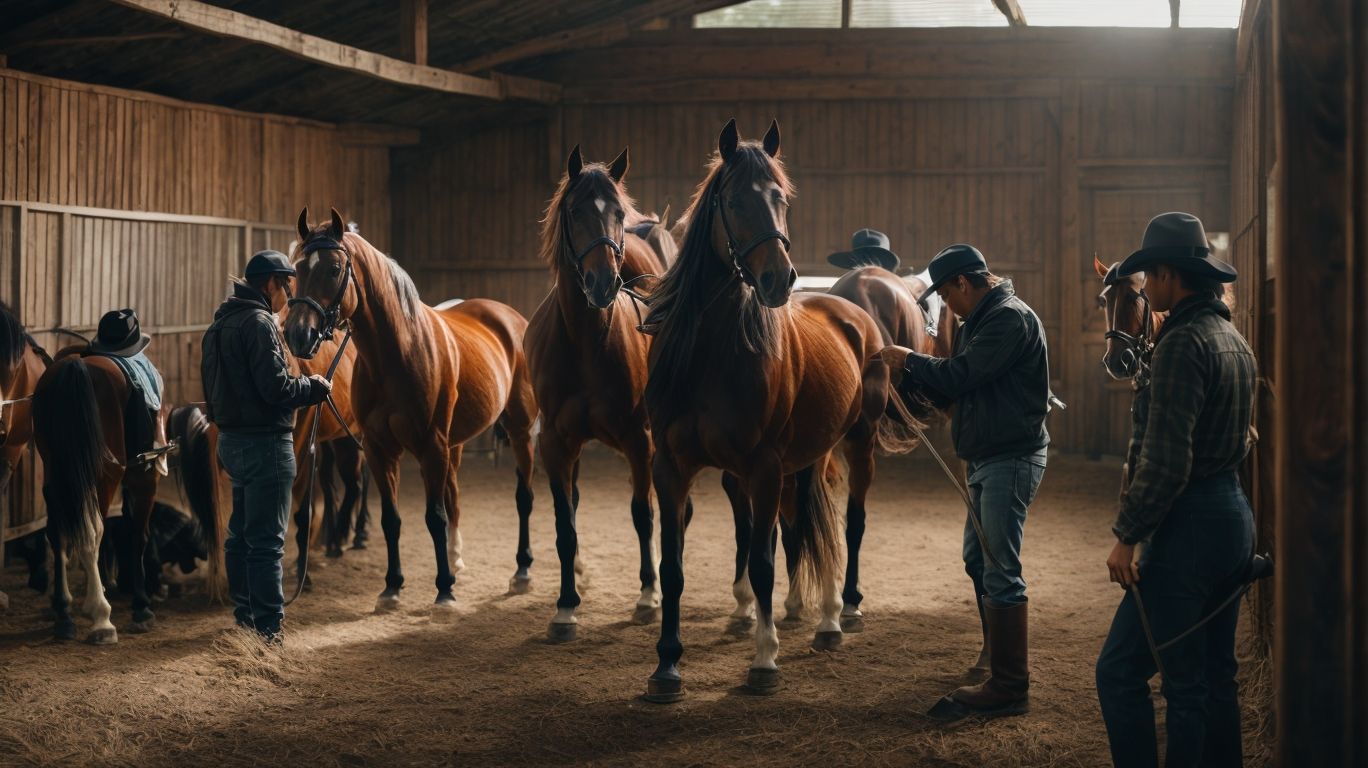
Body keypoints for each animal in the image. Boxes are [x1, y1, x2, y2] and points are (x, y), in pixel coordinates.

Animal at [33, 349, 161, 642]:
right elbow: (137, 535)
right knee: (93, 533)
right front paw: (140, 606)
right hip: (104, 476)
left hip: (57, 475)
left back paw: (64, 614)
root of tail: (75, 365)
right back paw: (102, 619)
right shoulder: (145, 476)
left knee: (58, 533)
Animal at [284, 208, 538, 614]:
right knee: (454, 494)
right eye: (297, 269)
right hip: (455, 442)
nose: (297, 335)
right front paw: (391, 587)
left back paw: (522, 570)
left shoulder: (430, 446)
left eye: (335, 269)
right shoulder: (379, 449)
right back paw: (456, 557)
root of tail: (508, 317)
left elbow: (433, 517)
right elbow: (392, 520)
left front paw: (444, 590)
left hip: (519, 430)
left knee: (523, 497)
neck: (398, 353)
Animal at [524, 146, 669, 642]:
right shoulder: (556, 443)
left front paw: (648, 595)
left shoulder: (639, 440)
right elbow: (564, 523)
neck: (587, 343)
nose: (603, 283)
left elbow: (642, 515)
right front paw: (566, 606)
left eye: (618, 213)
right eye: (575, 211)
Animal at [640, 119, 910, 701]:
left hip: (856, 445)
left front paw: (764, 660)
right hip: (809, 455)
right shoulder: (671, 467)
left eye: (781, 199)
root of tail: (854, 314)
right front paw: (666, 666)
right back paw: (814, 613)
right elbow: (674, 566)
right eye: (734, 200)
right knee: (806, 525)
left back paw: (841, 612)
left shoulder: (761, 467)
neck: (709, 357)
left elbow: (763, 561)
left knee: (850, 526)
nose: (778, 280)